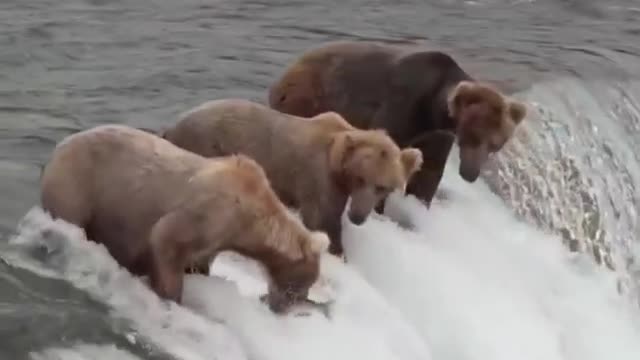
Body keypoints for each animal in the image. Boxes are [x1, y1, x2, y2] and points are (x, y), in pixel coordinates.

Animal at [40, 123, 330, 312]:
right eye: (300, 285)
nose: (284, 306)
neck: (249, 218)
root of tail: (58, 148)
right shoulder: (210, 212)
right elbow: (166, 239)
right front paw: (171, 297)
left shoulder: (217, 238)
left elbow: (199, 259)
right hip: (77, 185)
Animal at [161, 98, 424, 256]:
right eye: (361, 178)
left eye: (383, 187)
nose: (358, 216)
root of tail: (172, 126)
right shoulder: (317, 179)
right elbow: (321, 219)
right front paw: (336, 249)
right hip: (206, 144)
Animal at [268, 40, 528, 208]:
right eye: (473, 137)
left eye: (495, 144)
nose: (470, 173)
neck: (432, 109)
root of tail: (286, 72)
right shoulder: (402, 105)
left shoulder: (436, 135)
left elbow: (429, 174)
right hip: (308, 99)